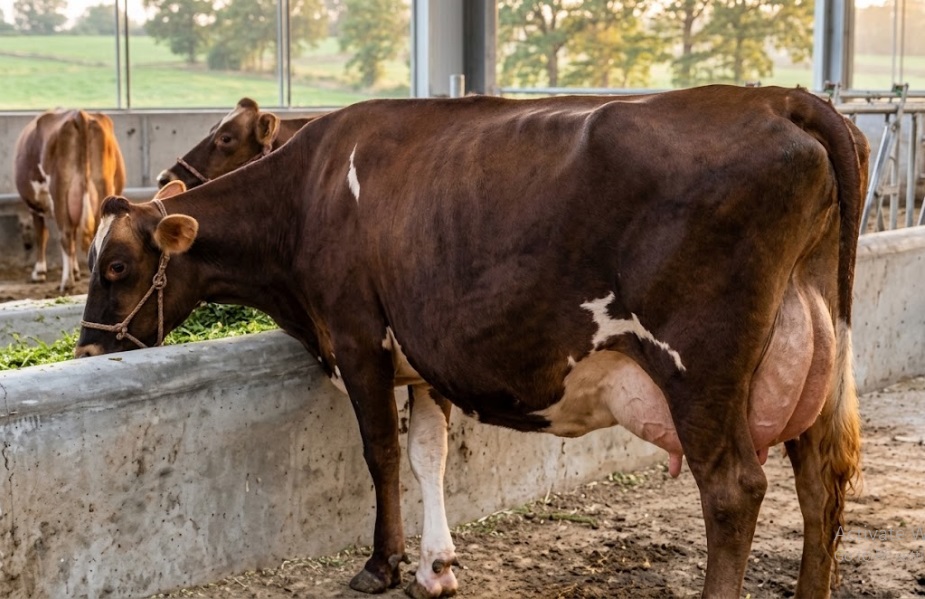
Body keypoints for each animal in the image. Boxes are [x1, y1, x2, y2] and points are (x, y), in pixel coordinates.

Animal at [14, 108, 126, 293]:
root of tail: (79, 114)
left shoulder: (35, 206)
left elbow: (41, 234)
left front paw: (39, 272)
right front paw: (76, 270)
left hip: (60, 192)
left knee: (65, 235)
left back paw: (66, 281)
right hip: (102, 188)